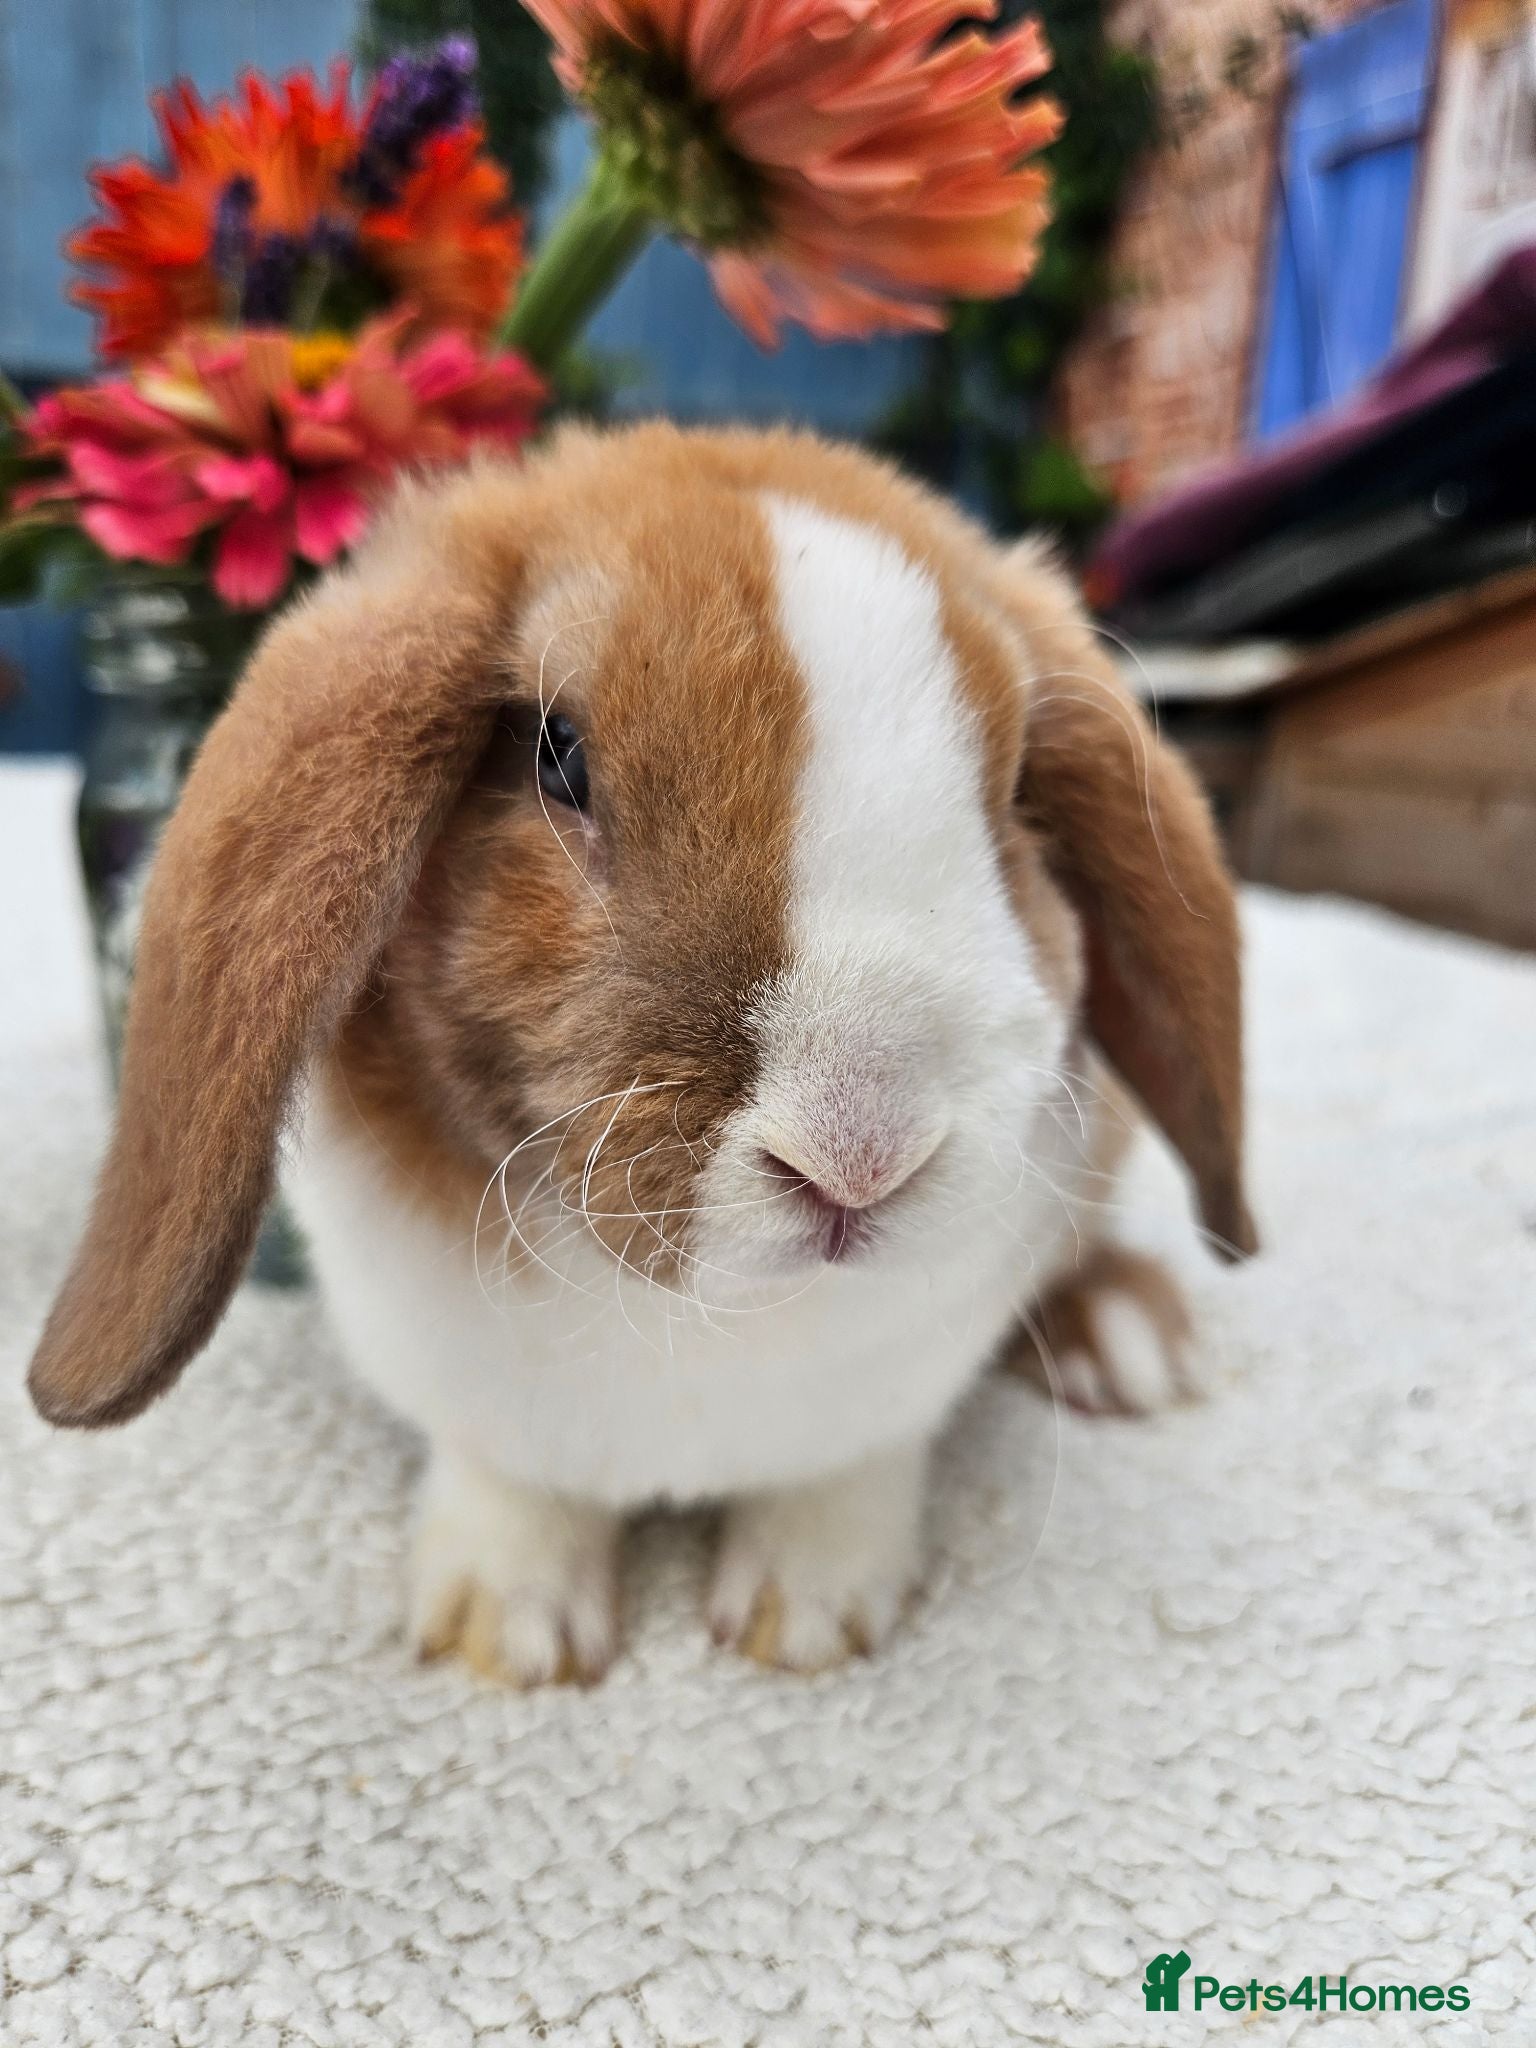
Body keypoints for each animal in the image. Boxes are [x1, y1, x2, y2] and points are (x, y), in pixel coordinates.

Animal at [28, 422, 1256, 1683]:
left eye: (1011, 789)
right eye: (558, 754)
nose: (860, 1157)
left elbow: (846, 1476)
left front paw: (808, 1620)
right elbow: (512, 1485)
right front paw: (507, 1637)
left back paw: (1130, 1342)